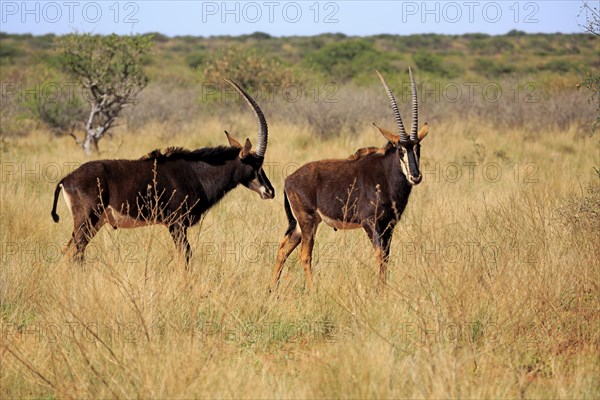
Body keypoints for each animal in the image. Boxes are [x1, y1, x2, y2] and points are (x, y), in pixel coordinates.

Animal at [50, 79, 276, 264]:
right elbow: (186, 256)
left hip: (94, 223)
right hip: (86, 220)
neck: (197, 173)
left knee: (71, 251)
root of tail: (66, 179)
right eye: (255, 165)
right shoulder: (176, 224)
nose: (270, 191)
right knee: (75, 252)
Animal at [270, 67, 428, 290]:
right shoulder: (371, 223)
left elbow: (387, 256)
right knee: (305, 254)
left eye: (418, 147)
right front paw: (379, 290)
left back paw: (271, 289)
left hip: (303, 224)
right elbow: (379, 255)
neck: (386, 176)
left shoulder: (389, 225)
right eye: (400, 149)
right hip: (308, 220)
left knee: (284, 247)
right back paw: (312, 290)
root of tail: (288, 180)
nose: (415, 176)